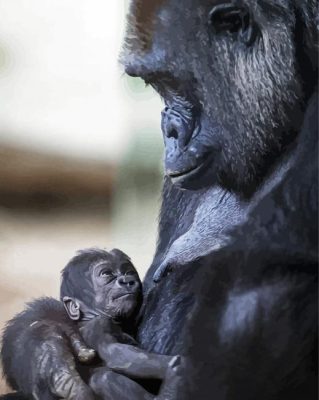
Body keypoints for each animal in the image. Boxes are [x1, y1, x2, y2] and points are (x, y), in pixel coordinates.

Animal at [60, 248, 180, 398]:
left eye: (129, 273)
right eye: (106, 274)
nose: (127, 280)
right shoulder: (100, 324)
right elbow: (113, 352)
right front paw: (172, 366)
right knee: (102, 378)